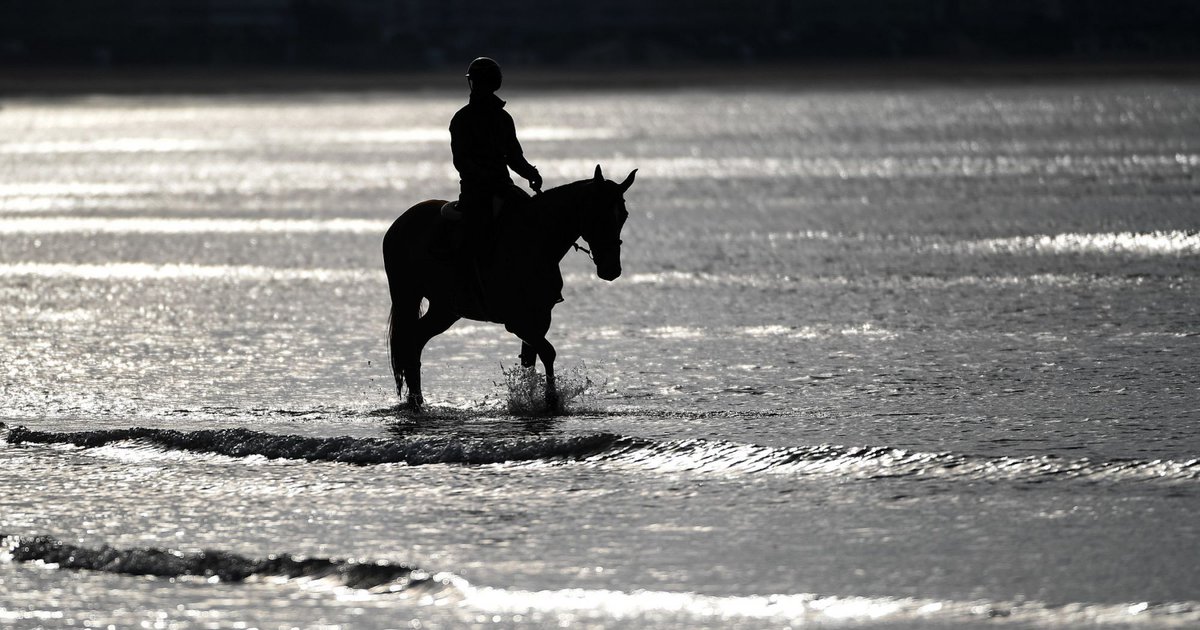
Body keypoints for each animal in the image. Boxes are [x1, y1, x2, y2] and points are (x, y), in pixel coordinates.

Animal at [382, 165, 636, 411]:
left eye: (624, 215)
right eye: (598, 215)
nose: (611, 269)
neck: (535, 240)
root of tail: (400, 223)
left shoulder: (540, 317)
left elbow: (530, 361)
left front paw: (530, 398)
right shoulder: (517, 321)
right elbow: (548, 352)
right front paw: (550, 399)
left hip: (445, 309)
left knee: (416, 339)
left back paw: (417, 400)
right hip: (407, 296)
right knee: (409, 340)